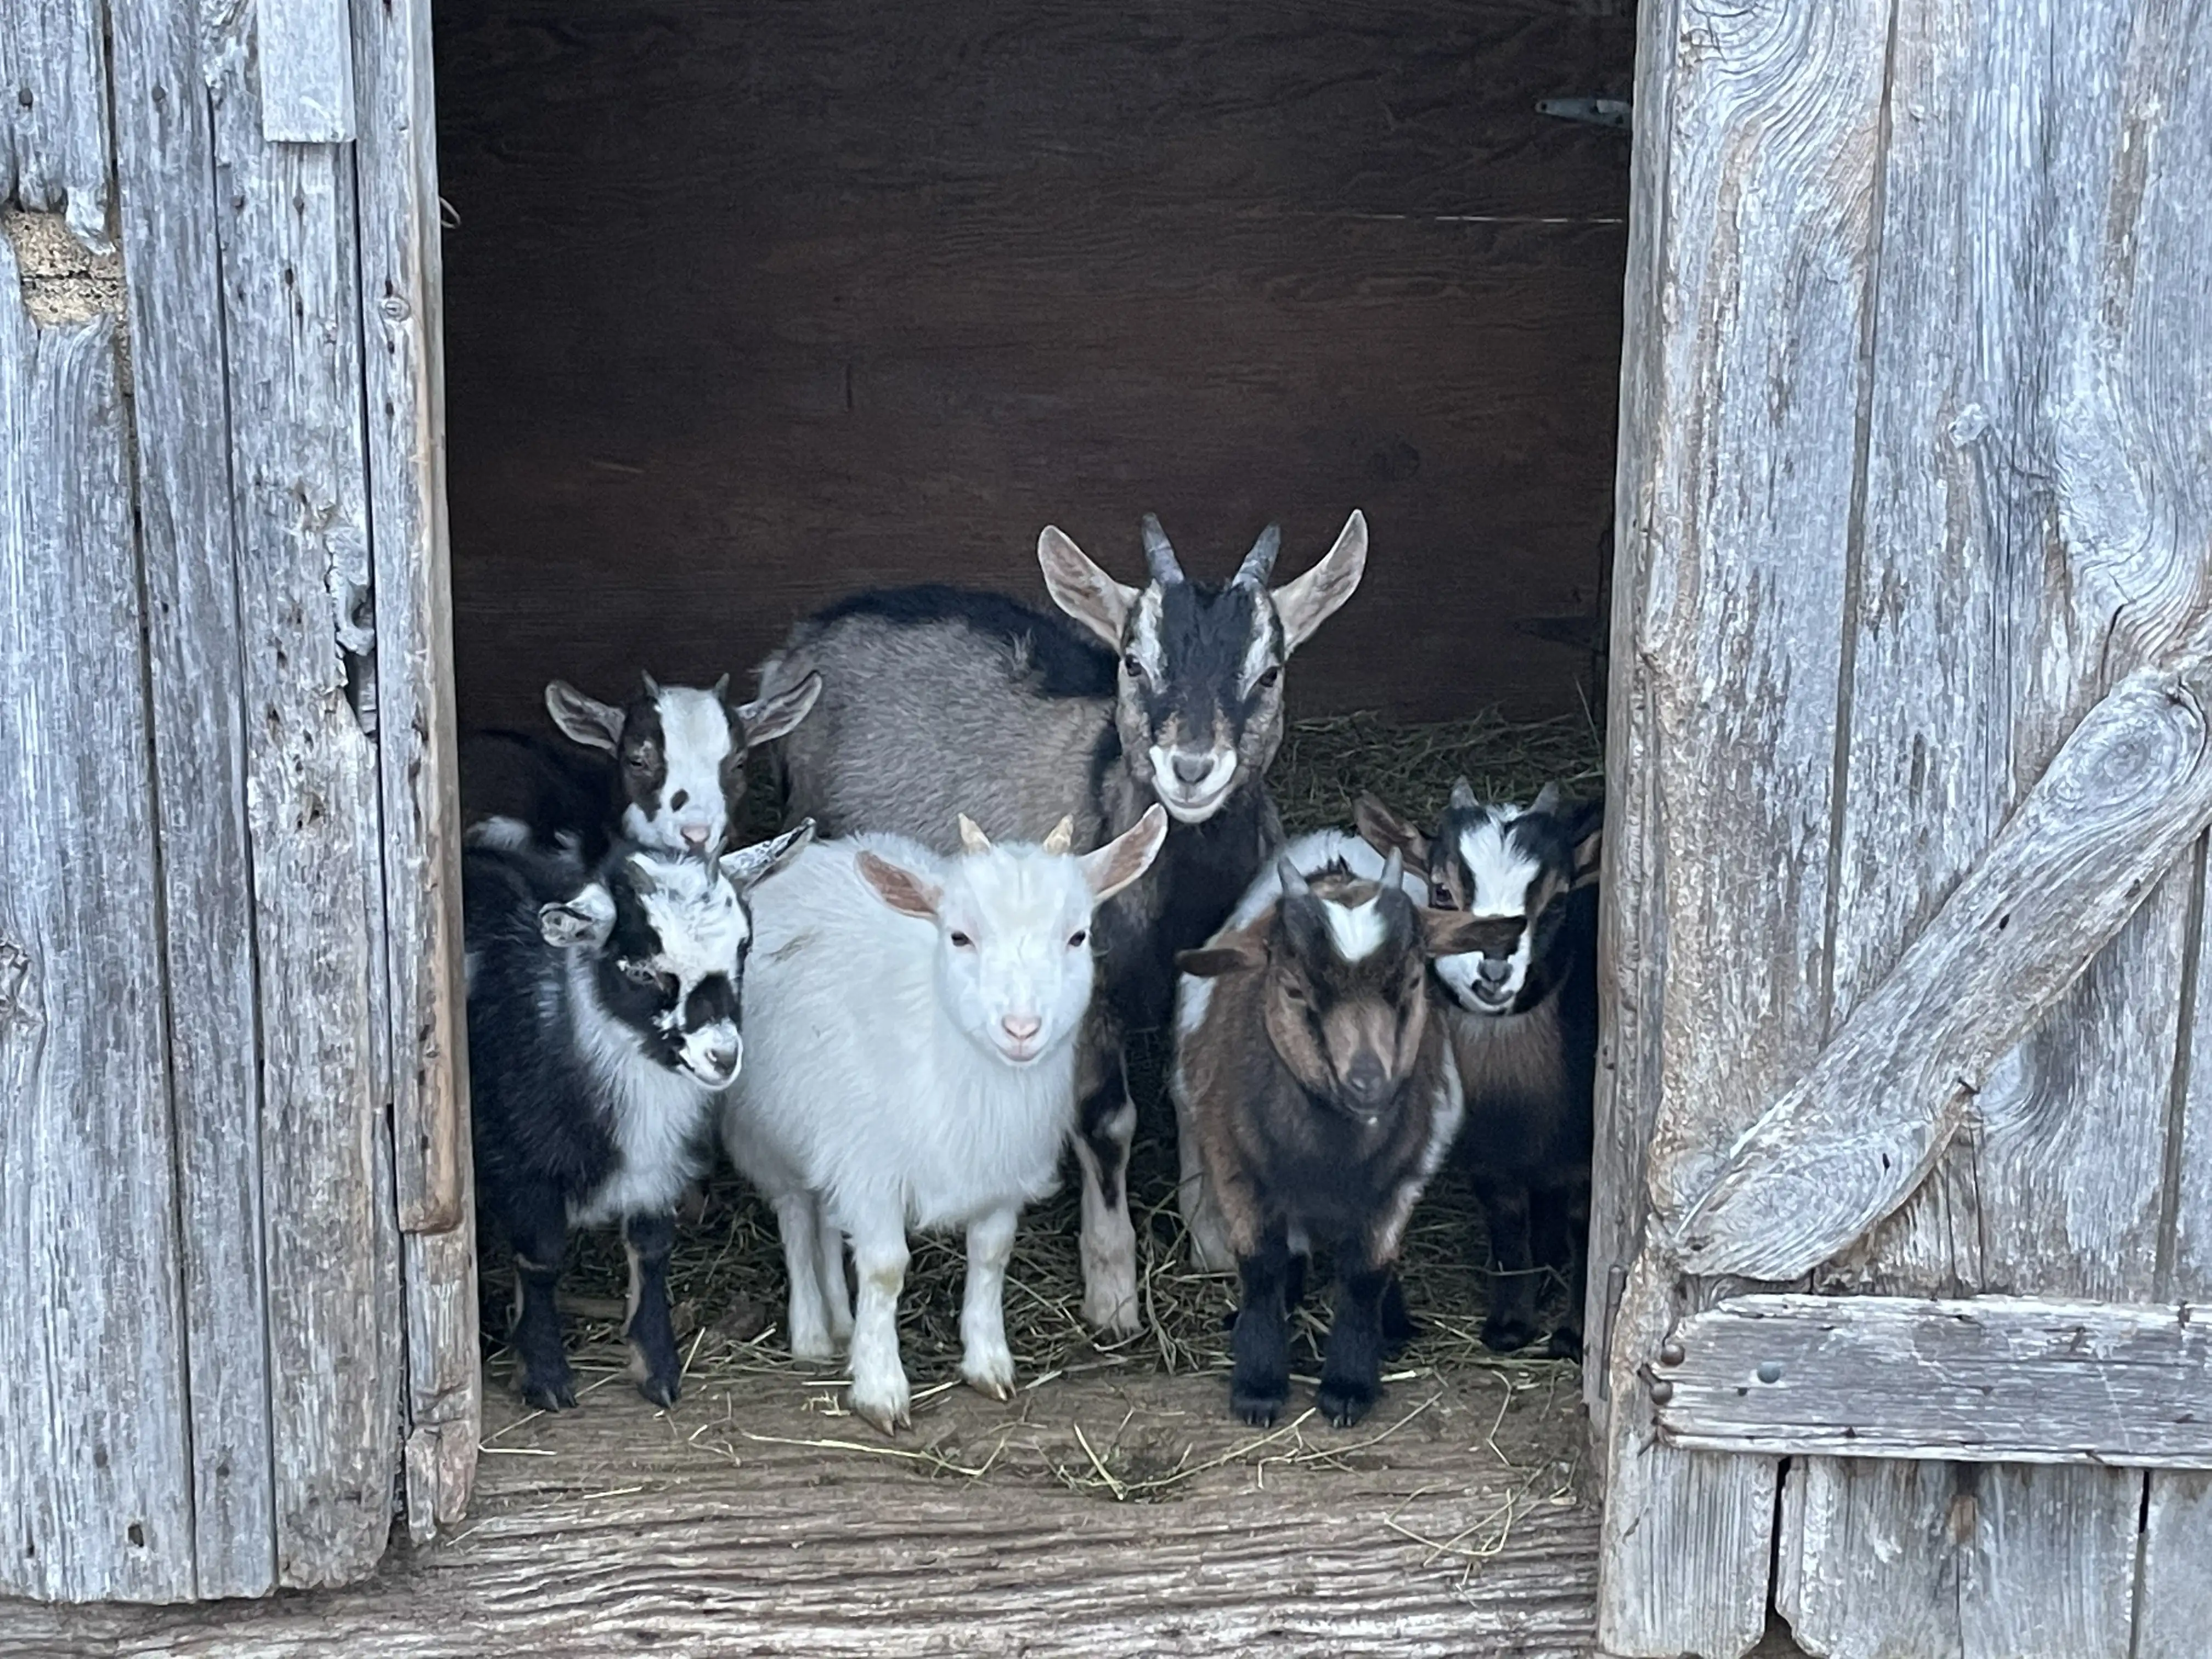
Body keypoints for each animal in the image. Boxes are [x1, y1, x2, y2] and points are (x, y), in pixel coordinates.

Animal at [464, 822, 812, 1409]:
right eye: (641, 971)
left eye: (744, 949)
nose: (723, 1057)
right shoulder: (519, 1161)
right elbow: (541, 1259)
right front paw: (544, 1374)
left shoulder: (656, 1170)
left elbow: (651, 1251)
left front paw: (657, 1367)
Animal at [720, 806, 1169, 1432]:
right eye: (959, 936)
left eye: (1077, 936)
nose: (1022, 1029)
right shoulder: (872, 1173)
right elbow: (885, 1269)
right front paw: (880, 1388)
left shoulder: (1000, 1176)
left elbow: (991, 1256)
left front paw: (988, 1363)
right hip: (766, 1134)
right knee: (794, 1218)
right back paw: (811, 1332)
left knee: (828, 1221)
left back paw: (841, 1322)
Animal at [754, 513, 1367, 1331]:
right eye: (1134, 664)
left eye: (1269, 673)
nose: (1192, 768)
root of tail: (804, 639)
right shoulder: (1087, 991)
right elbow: (1106, 1122)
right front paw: (1112, 1291)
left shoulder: (1205, 968)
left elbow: (1191, 1083)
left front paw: (1209, 1237)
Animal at [1172, 853, 1509, 1426]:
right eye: (1293, 990)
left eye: (1413, 981)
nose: (1368, 1083)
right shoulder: (1234, 1163)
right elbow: (1262, 1265)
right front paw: (1258, 1385)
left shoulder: (1403, 1178)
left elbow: (1366, 1273)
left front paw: (1349, 1384)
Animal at [1356, 782, 1601, 1358]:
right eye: (1442, 892)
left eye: (1557, 902)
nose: (1494, 970)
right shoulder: (1490, 1158)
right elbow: (1507, 1225)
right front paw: (1509, 1324)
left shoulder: (1587, 1157)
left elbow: (1585, 1229)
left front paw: (1573, 1335)